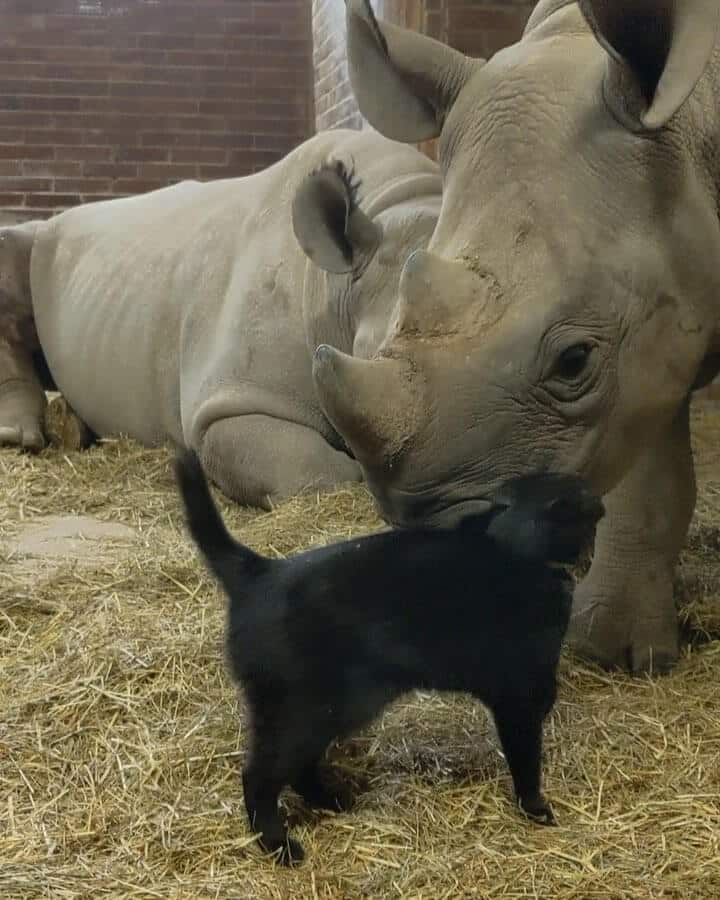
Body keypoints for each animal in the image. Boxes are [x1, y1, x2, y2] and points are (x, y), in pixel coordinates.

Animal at [174, 450, 600, 864]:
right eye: (583, 498)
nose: (600, 498)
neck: (517, 547)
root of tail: (258, 572)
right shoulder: (520, 695)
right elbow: (526, 759)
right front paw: (535, 808)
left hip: (328, 712)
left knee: (297, 770)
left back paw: (333, 800)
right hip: (309, 711)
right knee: (259, 776)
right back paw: (278, 845)